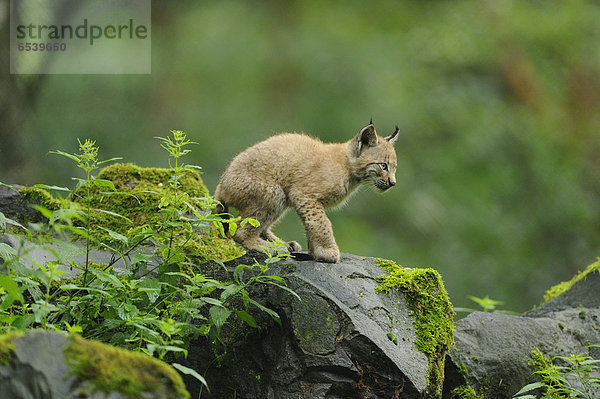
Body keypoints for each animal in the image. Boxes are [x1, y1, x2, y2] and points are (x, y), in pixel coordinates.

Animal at [216, 122, 398, 266]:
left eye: (394, 168)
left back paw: (281, 244)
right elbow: (321, 222)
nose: (393, 183)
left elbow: (311, 223)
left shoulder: (303, 198)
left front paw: (316, 251)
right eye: (383, 166)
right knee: (238, 231)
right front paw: (328, 250)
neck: (349, 170)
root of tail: (222, 182)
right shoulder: (304, 194)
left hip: (281, 199)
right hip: (274, 193)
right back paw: (267, 247)